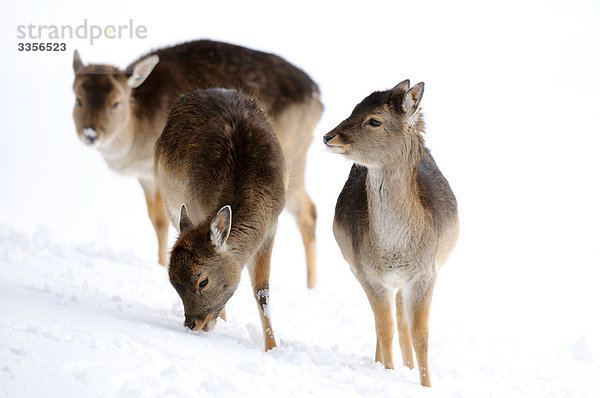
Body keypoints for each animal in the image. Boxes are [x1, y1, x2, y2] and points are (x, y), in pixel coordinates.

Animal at [71, 40, 324, 288]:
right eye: (78, 99)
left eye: (116, 102)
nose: (91, 134)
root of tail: (317, 98)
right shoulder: (146, 177)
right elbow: (155, 219)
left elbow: (162, 220)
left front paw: (161, 264)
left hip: (293, 157)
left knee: (308, 211)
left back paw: (311, 286)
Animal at [155, 88, 286, 350]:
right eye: (173, 283)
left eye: (203, 282)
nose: (191, 323)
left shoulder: (271, 228)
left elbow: (262, 291)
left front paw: (273, 347)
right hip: (170, 202)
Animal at [324, 79, 460, 388]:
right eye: (354, 108)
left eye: (374, 120)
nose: (328, 136)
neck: (396, 251)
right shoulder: (368, 274)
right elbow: (384, 330)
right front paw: (386, 373)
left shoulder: (426, 274)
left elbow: (421, 336)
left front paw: (426, 385)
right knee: (388, 323)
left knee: (402, 319)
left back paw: (408, 367)